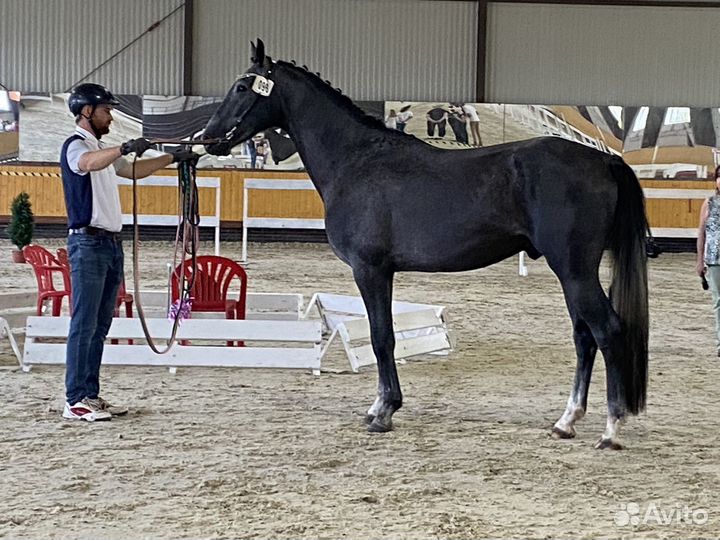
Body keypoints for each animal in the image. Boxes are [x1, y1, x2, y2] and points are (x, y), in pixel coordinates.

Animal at [202, 39, 649, 450]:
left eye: (242, 86)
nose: (208, 139)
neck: (357, 160)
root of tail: (604, 159)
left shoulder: (370, 269)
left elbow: (382, 338)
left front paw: (383, 412)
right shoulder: (380, 271)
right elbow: (384, 337)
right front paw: (380, 407)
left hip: (574, 270)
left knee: (607, 331)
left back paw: (610, 430)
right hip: (574, 273)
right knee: (584, 337)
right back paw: (566, 421)